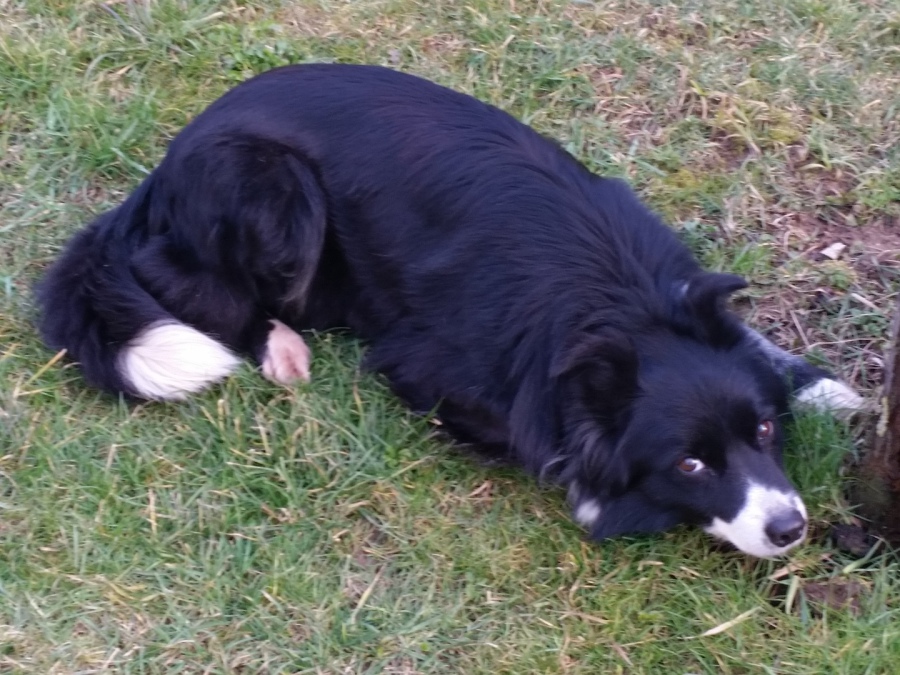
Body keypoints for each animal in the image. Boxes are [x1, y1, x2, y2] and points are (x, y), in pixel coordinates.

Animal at [38, 64, 862, 558]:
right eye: (690, 463)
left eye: (763, 431)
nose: (791, 527)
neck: (616, 301)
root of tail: (164, 166)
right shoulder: (427, 368)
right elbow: (536, 442)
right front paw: (599, 496)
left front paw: (824, 387)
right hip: (275, 191)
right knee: (174, 277)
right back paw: (280, 347)